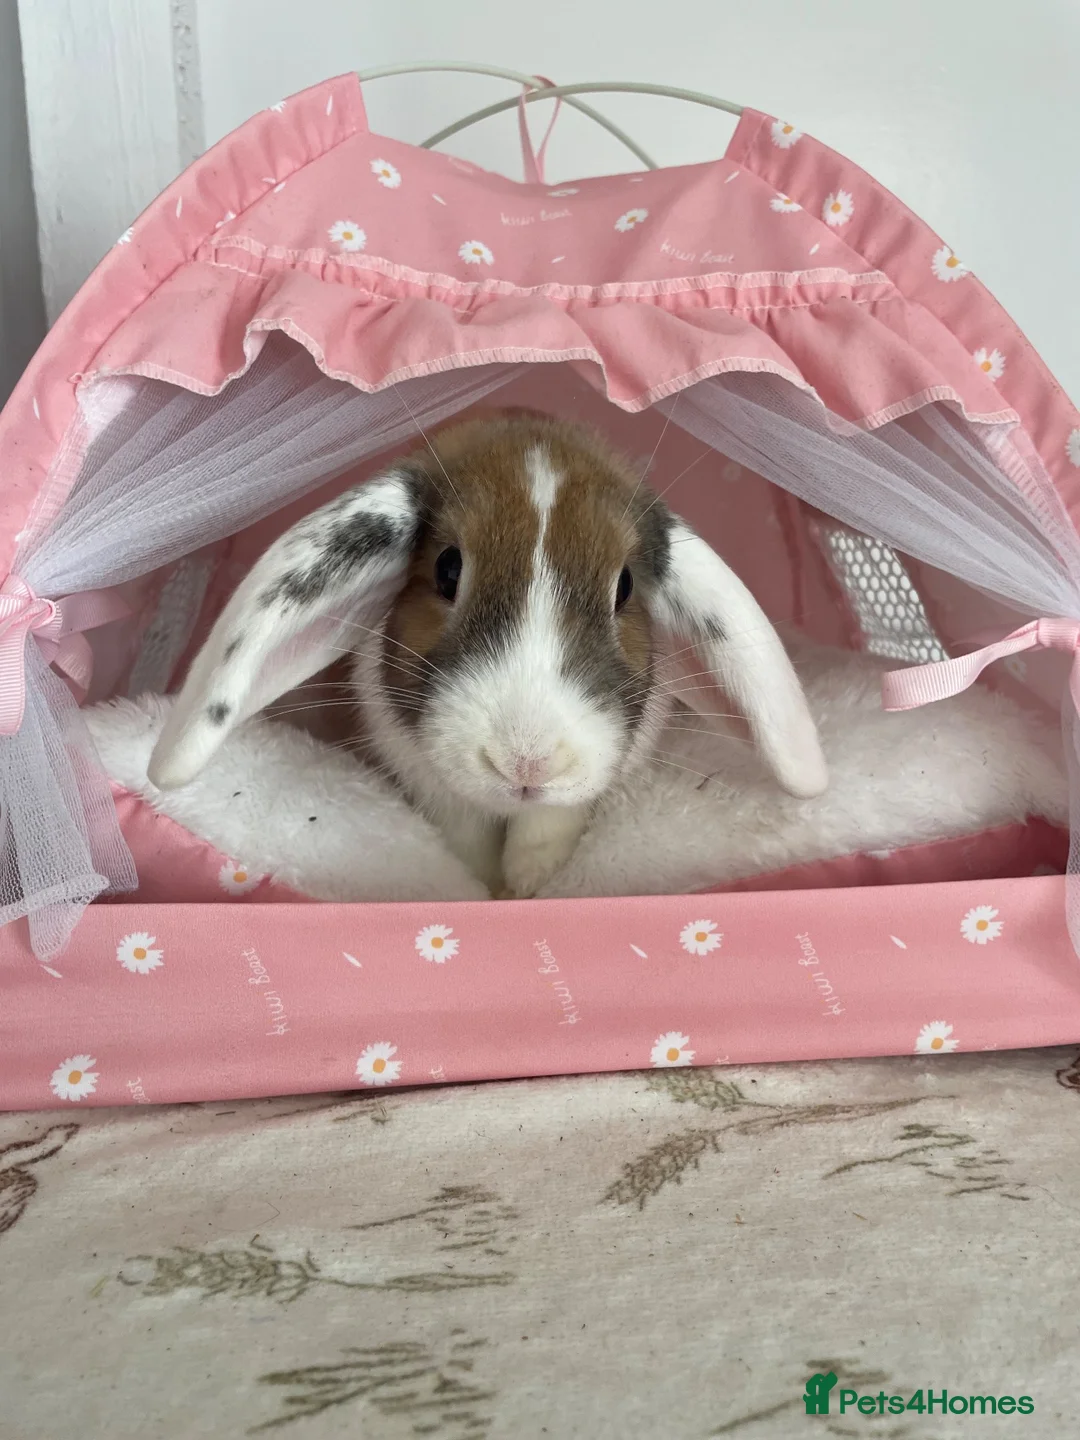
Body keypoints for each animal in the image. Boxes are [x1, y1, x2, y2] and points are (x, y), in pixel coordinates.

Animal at [147, 413, 828, 896]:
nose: (527, 764)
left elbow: (546, 832)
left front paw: (527, 888)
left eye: (624, 587)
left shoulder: (573, 800)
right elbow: (466, 840)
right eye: (448, 569)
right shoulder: (437, 791)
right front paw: (489, 889)